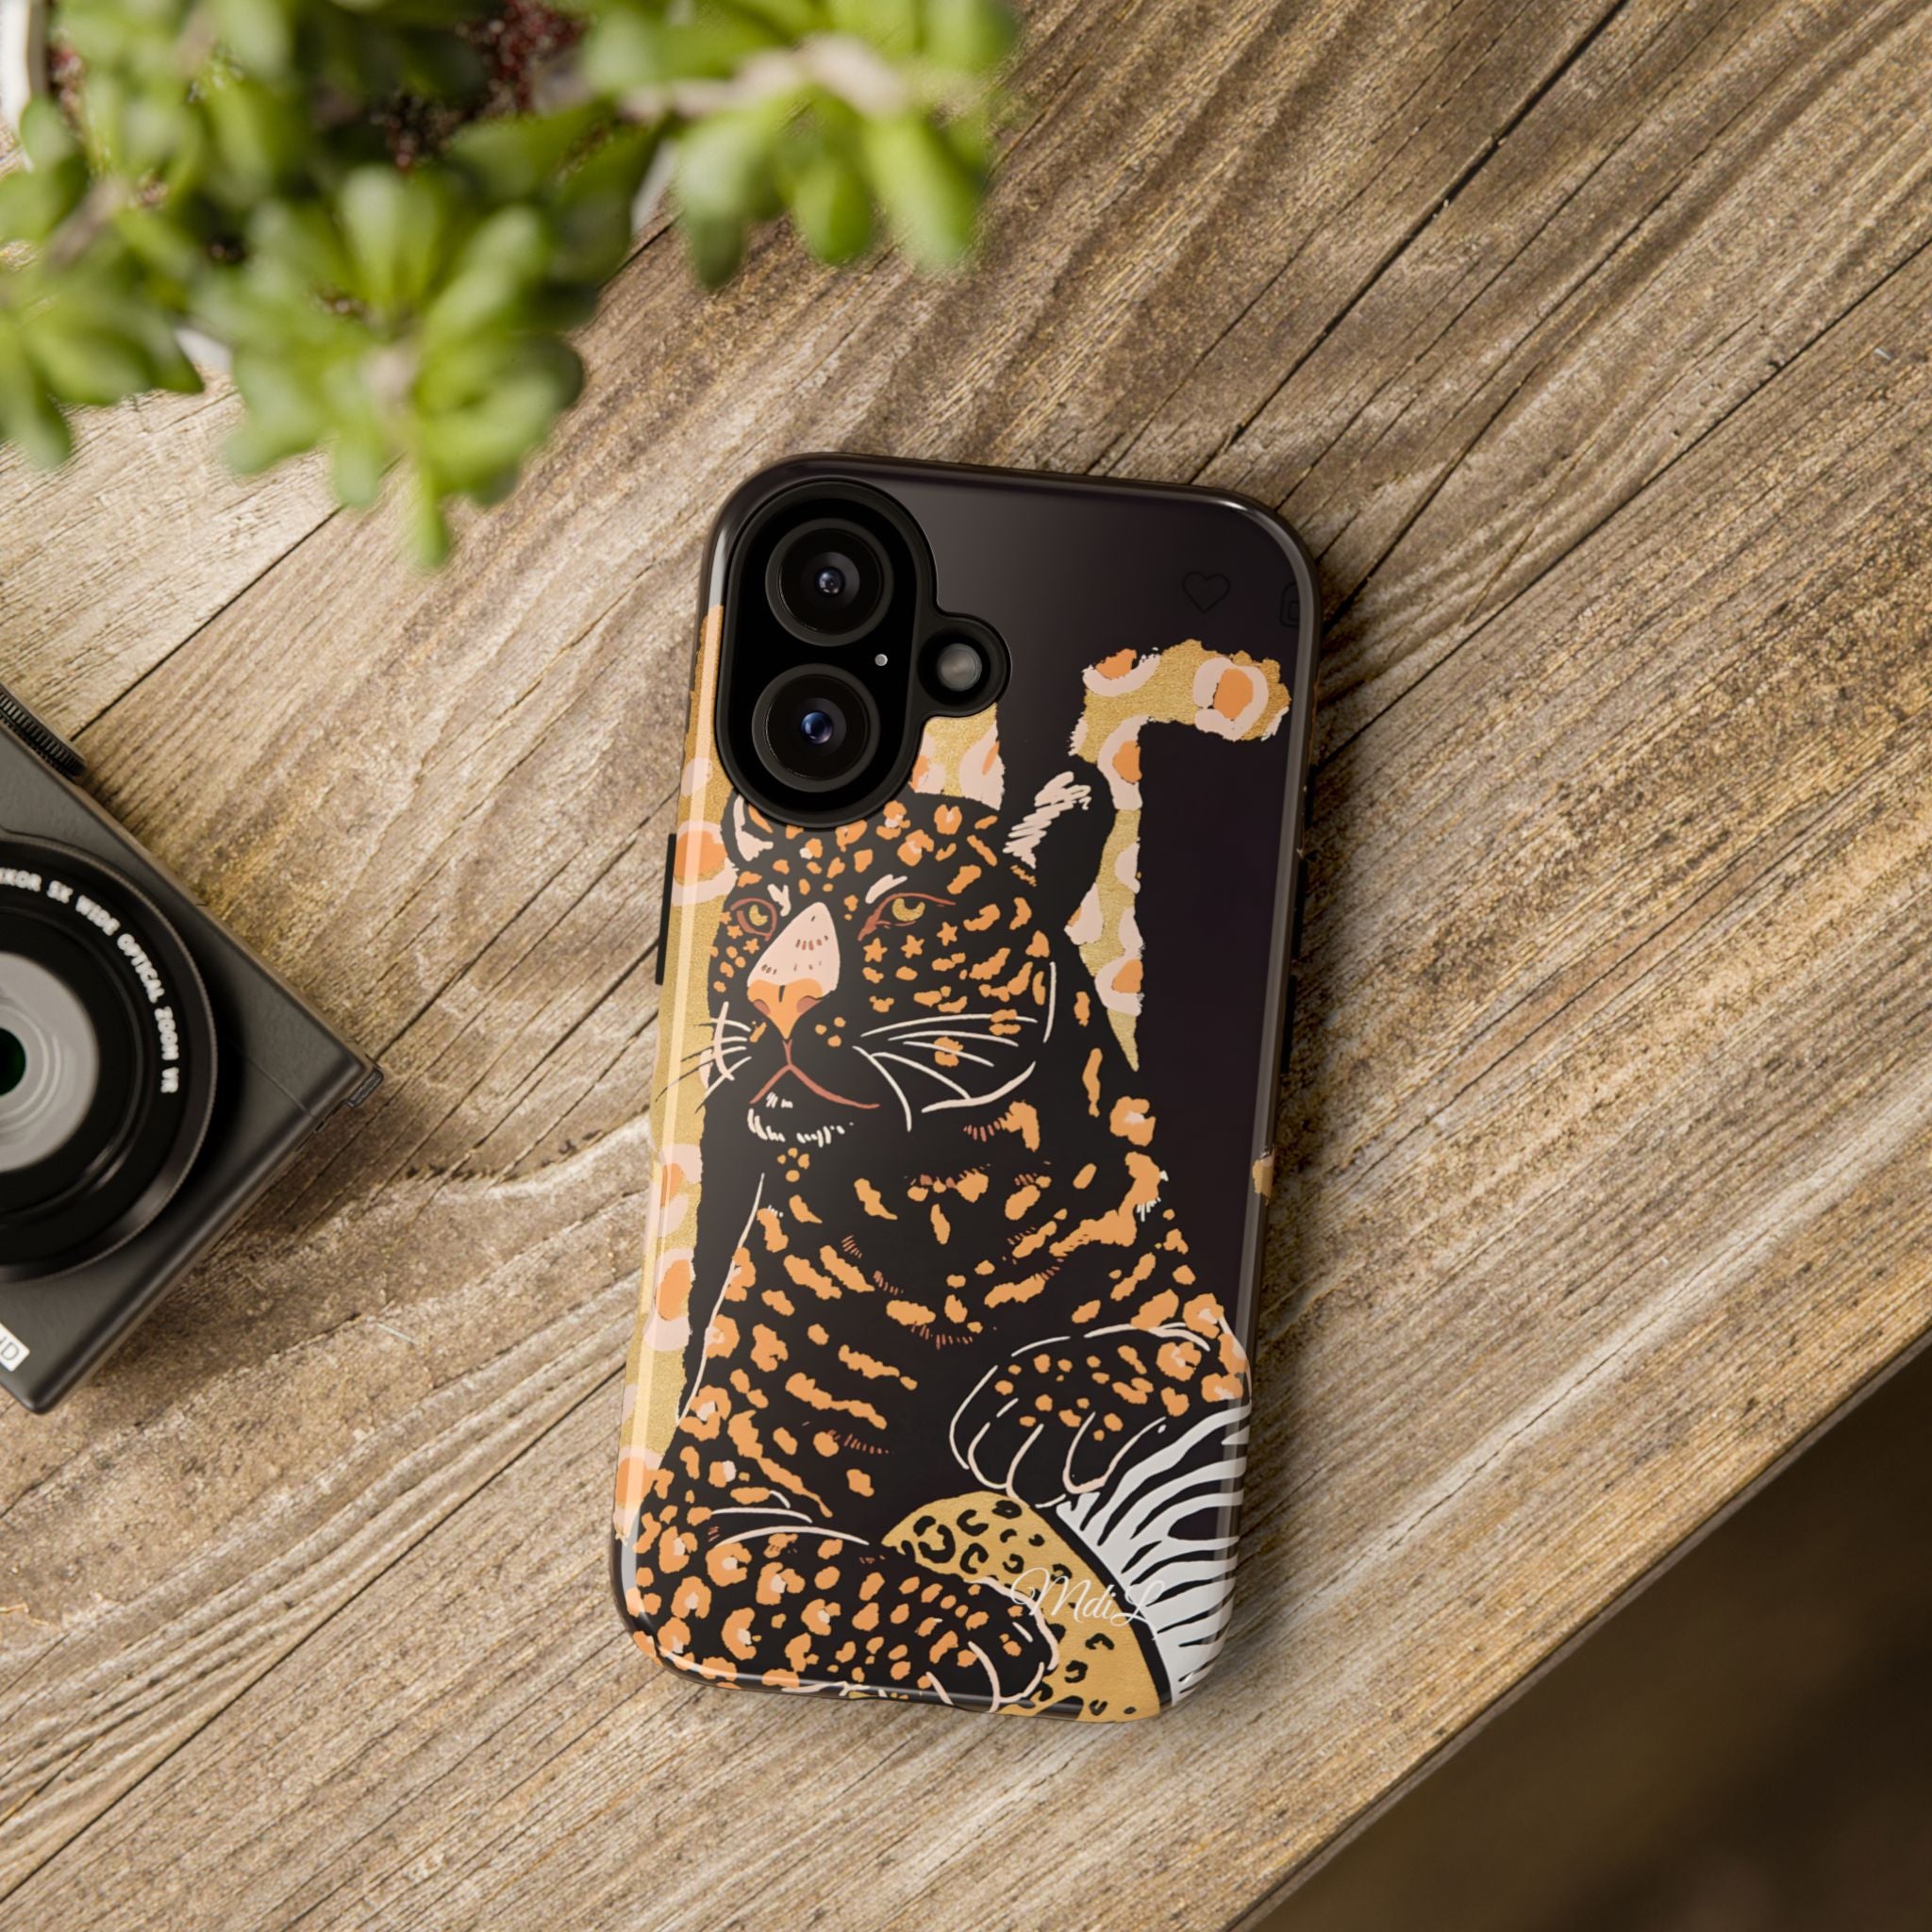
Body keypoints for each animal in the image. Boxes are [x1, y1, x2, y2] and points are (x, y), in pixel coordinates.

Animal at [621, 770, 1249, 1712]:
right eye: (761, 912)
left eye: (905, 908)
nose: (777, 1001)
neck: (946, 1199)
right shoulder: (700, 1498)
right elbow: (809, 1579)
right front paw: (974, 1630)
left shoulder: (1204, 1319)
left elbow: (1172, 1348)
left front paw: (1032, 1409)